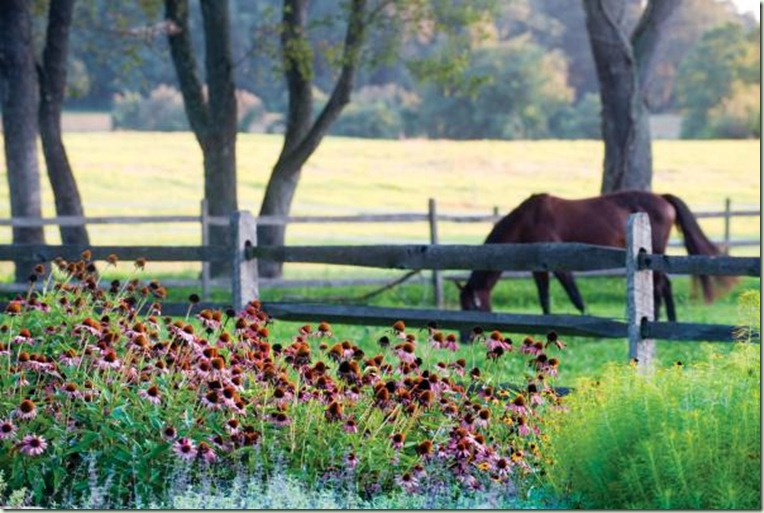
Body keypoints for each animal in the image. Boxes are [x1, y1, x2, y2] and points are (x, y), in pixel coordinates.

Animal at [458, 191, 732, 330]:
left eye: (472, 307)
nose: (466, 338)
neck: (528, 218)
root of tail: (663, 199)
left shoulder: (557, 264)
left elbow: (572, 296)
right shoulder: (539, 267)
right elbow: (545, 296)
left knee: (662, 285)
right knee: (661, 285)